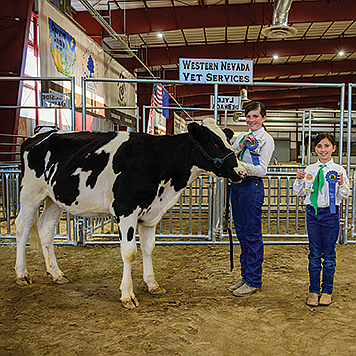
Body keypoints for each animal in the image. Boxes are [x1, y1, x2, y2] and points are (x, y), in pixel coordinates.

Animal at [15, 118, 246, 308]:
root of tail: (37, 137)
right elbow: (130, 252)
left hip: (54, 198)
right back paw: (22, 274)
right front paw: (127, 295)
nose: (242, 172)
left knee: (45, 229)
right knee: (22, 228)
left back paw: (56, 273)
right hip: (30, 193)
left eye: (228, 141)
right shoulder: (126, 210)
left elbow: (149, 248)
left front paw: (152, 284)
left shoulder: (151, 215)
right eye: (214, 142)